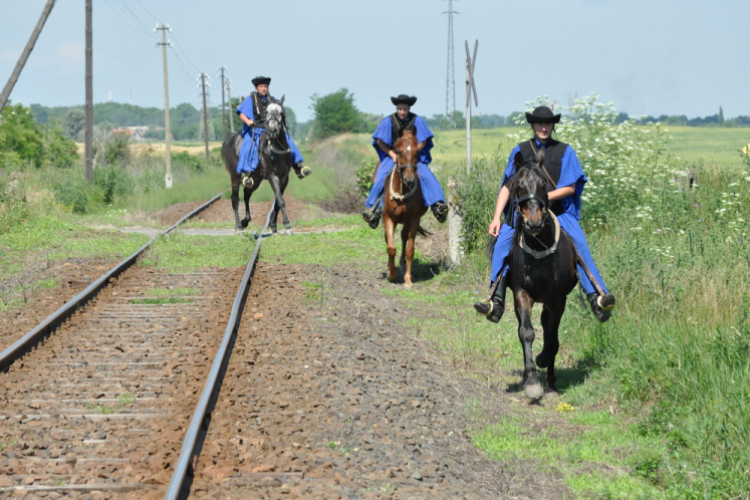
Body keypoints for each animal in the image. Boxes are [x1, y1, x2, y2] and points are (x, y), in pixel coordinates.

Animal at [222, 100, 296, 237]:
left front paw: (274, 226)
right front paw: (288, 226)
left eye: (281, 112)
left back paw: (245, 221)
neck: (276, 150)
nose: (273, 130)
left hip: (256, 179)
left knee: (246, 193)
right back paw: (239, 227)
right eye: (266, 112)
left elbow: (277, 201)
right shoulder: (273, 176)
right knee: (235, 199)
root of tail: (232, 138)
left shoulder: (284, 178)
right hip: (235, 176)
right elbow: (280, 200)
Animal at [388, 129, 428, 288]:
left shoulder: (414, 220)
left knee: (404, 236)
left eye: (417, 152)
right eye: (398, 151)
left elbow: (410, 249)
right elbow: (391, 247)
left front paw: (408, 279)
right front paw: (392, 274)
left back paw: (402, 263)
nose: (409, 180)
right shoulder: (388, 218)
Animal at [506, 150, 580, 400]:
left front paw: (547, 375)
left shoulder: (558, 299)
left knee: (548, 328)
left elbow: (552, 340)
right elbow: (526, 333)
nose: (534, 223)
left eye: (542, 184)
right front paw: (531, 381)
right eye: (518, 185)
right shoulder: (521, 294)